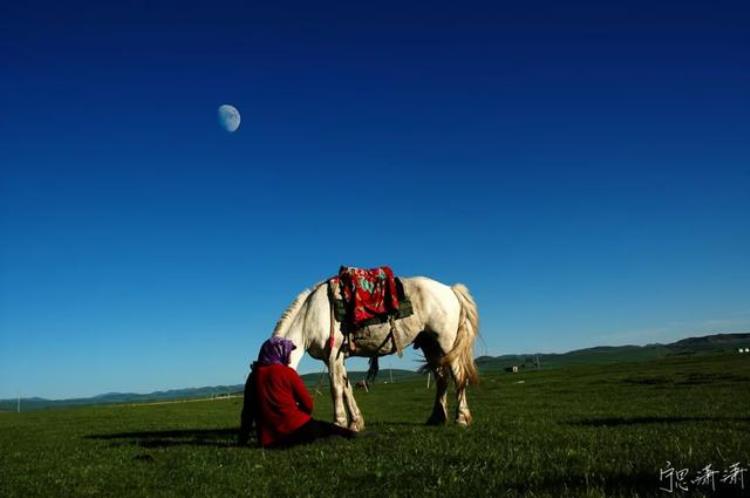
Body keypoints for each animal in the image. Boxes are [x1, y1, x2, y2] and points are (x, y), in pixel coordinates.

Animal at [270, 276, 482, 432]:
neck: (311, 315)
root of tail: (450, 289)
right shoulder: (338, 358)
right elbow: (347, 387)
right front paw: (355, 423)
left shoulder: (333, 355)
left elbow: (336, 388)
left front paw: (339, 422)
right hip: (430, 345)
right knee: (441, 379)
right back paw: (436, 418)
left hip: (446, 342)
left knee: (458, 375)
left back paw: (461, 418)